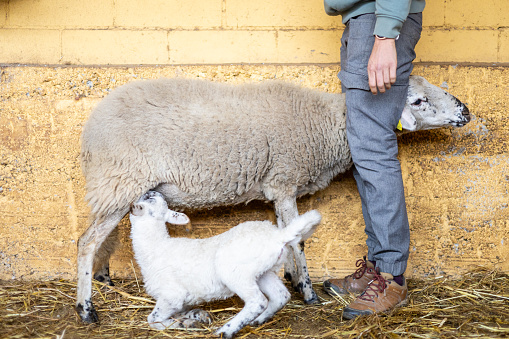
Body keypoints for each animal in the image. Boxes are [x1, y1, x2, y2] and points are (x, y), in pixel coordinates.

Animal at [129, 190, 320, 338]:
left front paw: (184, 324)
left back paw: (225, 331)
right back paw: (257, 321)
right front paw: (196, 317)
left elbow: (153, 320)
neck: (156, 246)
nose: (153, 190)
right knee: (281, 295)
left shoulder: (172, 295)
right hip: (262, 272)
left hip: (236, 273)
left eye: (149, 198)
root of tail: (278, 236)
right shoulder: (182, 300)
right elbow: (186, 311)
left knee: (257, 301)